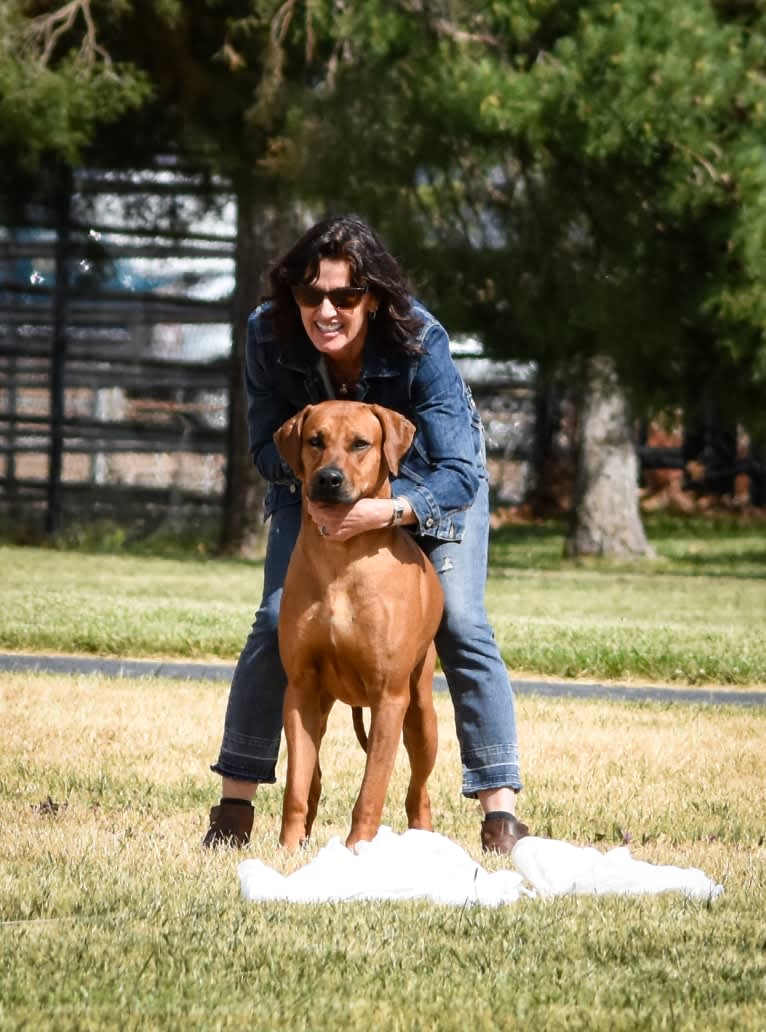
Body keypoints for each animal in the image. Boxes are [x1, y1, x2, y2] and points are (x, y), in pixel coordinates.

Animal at [274, 398, 443, 850]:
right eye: (315, 440)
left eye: (360, 443)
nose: (328, 479)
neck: (341, 558)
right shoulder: (300, 687)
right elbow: (296, 783)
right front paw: (288, 847)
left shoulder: (390, 697)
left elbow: (372, 789)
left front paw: (357, 851)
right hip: (322, 705)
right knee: (313, 775)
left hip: (420, 712)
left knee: (418, 787)